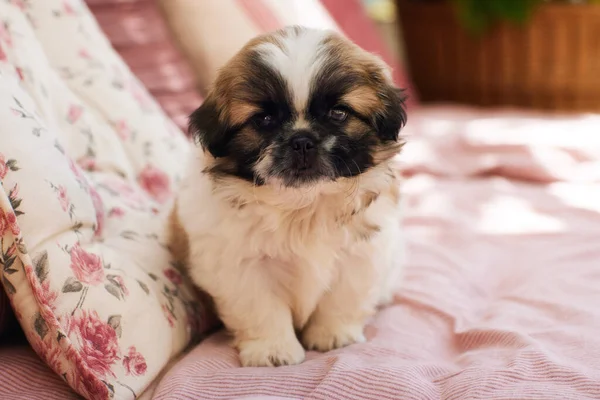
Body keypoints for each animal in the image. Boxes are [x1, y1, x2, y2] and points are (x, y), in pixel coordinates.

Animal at [173, 26, 408, 368]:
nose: (302, 140)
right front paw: (272, 350)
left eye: (338, 113)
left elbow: (343, 297)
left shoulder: (361, 254)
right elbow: (261, 308)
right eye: (264, 120)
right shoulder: (240, 265)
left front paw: (332, 335)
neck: (304, 206)